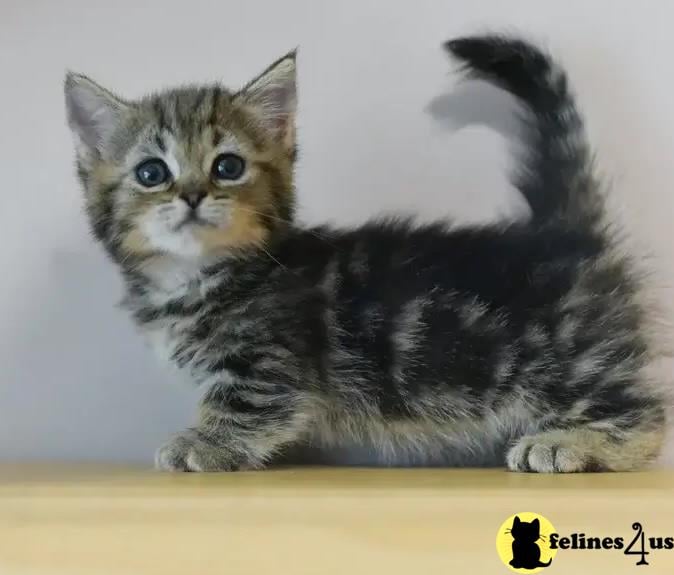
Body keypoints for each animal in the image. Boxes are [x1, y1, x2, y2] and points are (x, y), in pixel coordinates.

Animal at [65, 35, 664, 472]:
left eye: (227, 166)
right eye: (151, 173)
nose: (192, 195)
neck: (198, 277)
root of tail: (566, 233)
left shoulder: (273, 363)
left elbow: (249, 406)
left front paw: (203, 442)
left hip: (562, 363)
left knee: (647, 414)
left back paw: (573, 444)